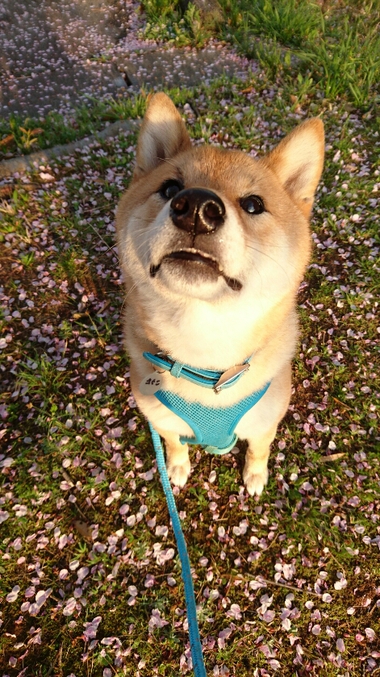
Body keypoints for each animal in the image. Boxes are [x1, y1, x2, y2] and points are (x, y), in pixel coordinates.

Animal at [116, 92, 324, 494]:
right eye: (170, 188)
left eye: (254, 204)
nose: (196, 207)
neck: (203, 349)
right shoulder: (162, 420)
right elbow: (174, 444)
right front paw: (177, 467)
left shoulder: (264, 423)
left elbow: (259, 450)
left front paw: (255, 475)